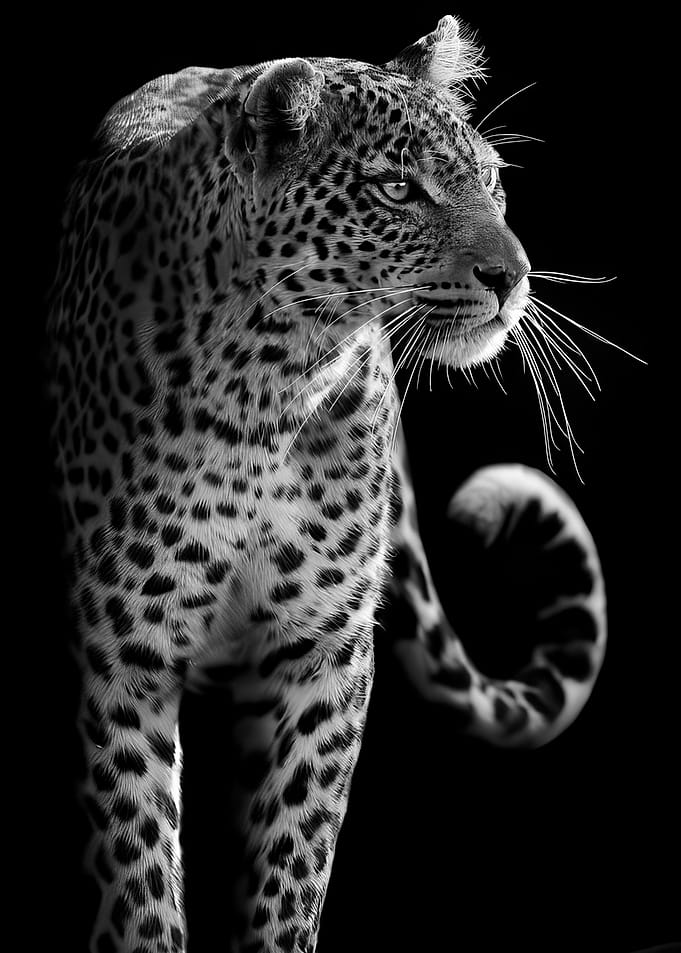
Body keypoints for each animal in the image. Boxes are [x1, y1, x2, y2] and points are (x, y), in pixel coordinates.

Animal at [46, 14, 607, 953]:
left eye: (490, 180)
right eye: (396, 188)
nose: (513, 275)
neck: (267, 384)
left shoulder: (321, 647)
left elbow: (291, 860)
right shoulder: (121, 652)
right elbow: (138, 879)